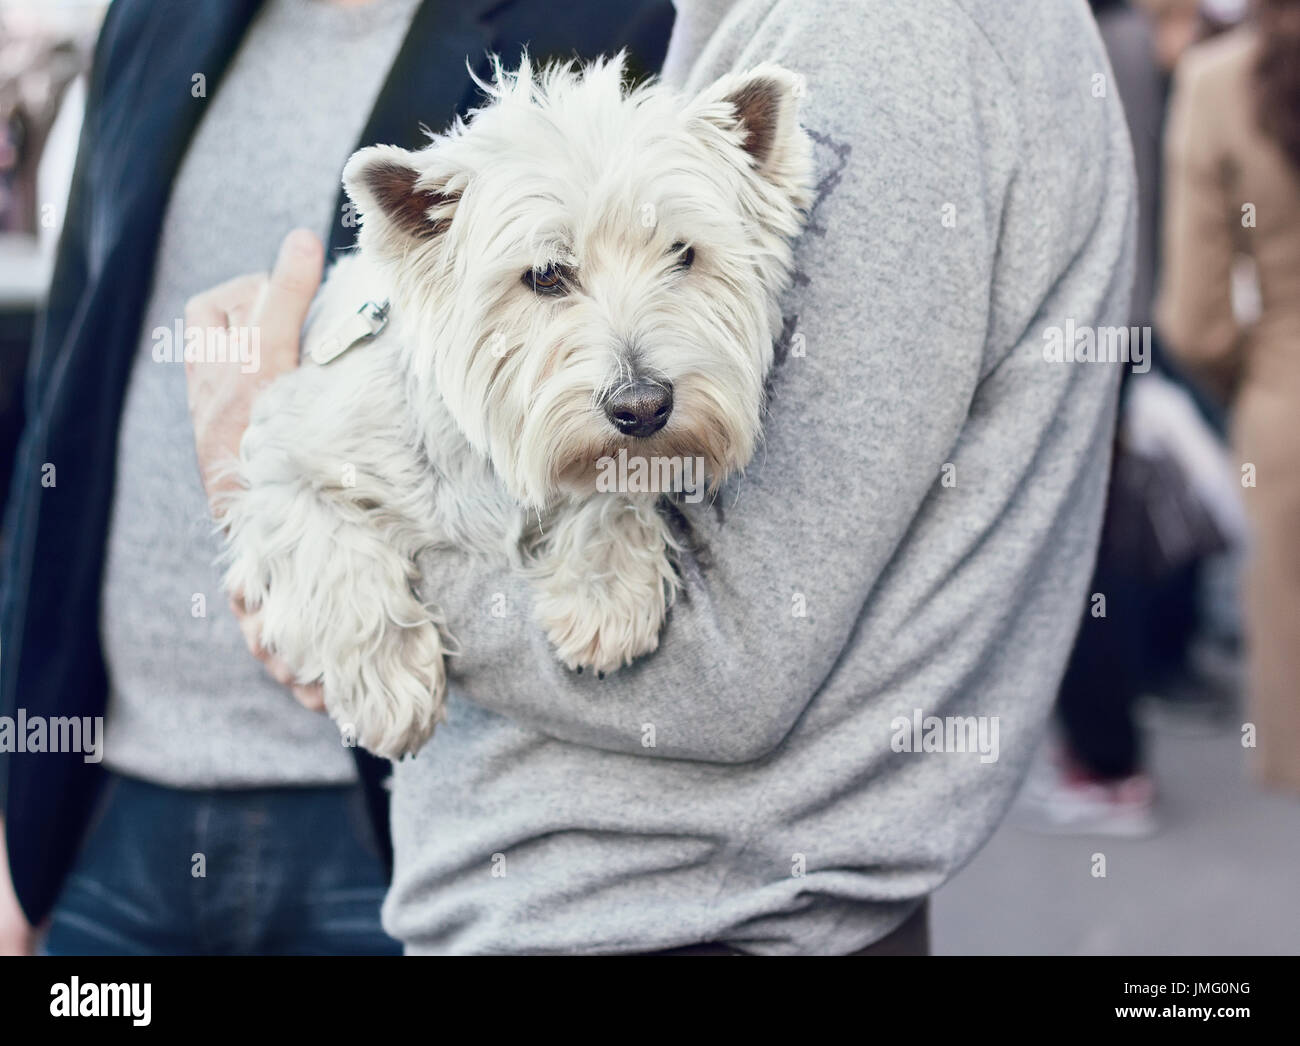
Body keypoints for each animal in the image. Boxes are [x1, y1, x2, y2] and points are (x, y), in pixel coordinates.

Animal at [223, 57, 811, 753]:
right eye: (545, 275)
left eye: (682, 254)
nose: (643, 406)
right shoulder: (284, 459)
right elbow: (327, 544)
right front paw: (389, 685)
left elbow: (611, 484)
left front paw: (604, 590)